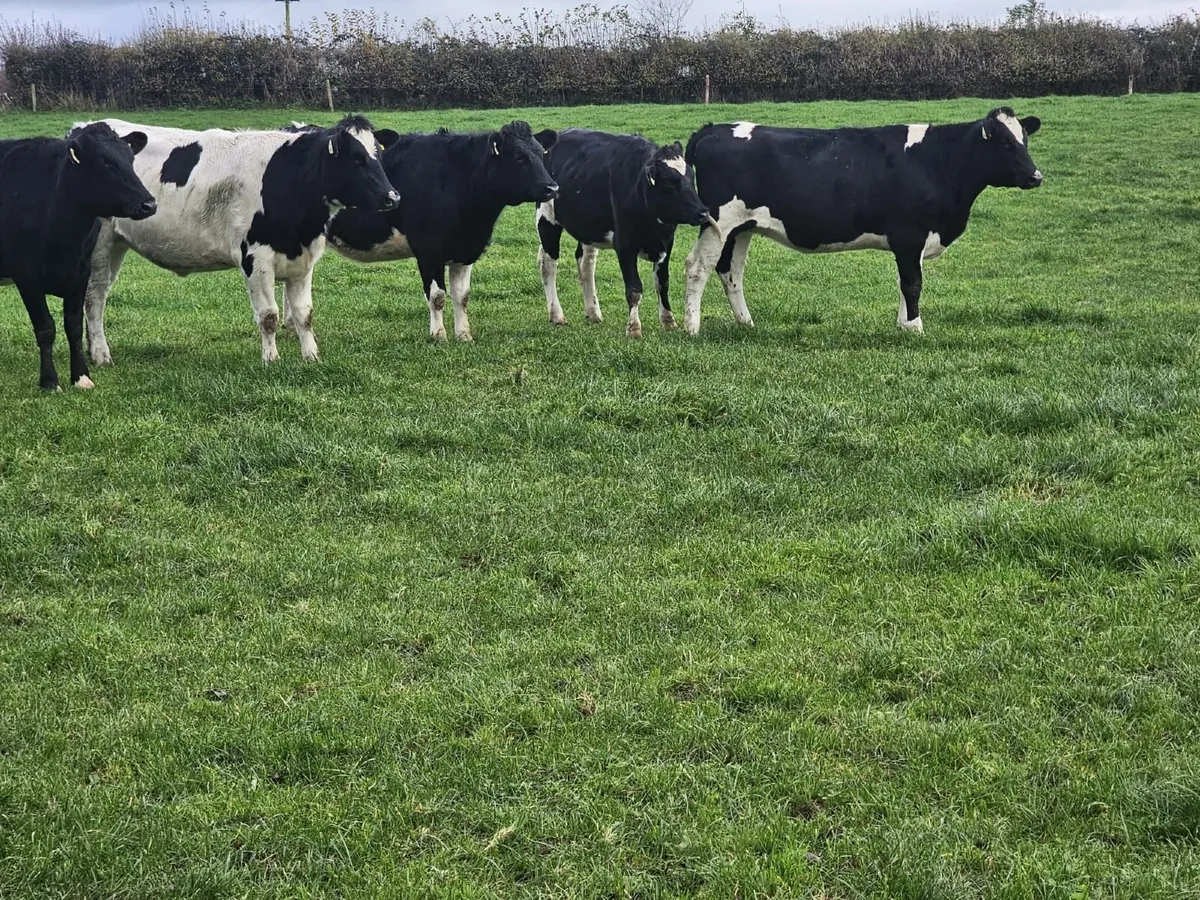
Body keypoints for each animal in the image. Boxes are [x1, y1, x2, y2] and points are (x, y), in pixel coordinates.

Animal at [0, 123, 155, 391]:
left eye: (130, 159)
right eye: (104, 162)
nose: (149, 204)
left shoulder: (82, 271)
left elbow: (73, 325)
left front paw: (81, 377)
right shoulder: (27, 275)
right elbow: (45, 327)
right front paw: (50, 381)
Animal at [79, 115, 399, 365]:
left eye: (378, 155)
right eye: (355, 158)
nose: (393, 197)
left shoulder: (303, 259)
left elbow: (304, 315)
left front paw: (311, 357)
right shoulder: (255, 258)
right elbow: (269, 316)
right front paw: (271, 360)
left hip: (117, 244)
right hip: (100, 245)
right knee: (94, 298)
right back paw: (101, 354)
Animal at [321, 121, 558, 342]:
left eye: (541, 154)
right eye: (519, 157)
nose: (552, 188)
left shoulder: (465, 250)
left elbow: (462, 296)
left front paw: (464, 335)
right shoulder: (428, 249)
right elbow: (437, 296)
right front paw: (439, 335)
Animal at [534, 129, 715, 338]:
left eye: (691, 178)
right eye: (672, 182)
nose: (703, 212)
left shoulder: (667, 242)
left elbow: (662, 283)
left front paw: (668, 321)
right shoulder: (625, 245)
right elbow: (634, 289)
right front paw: (634, 328)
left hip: (588, 228)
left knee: (585, 263)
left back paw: (593, 312)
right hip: (547, 218)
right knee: (548, 264)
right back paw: (557, 314)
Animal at [681, 107, 1043, 336]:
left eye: (1025, 139)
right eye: (1005, 142)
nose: (1036, 176)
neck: (940, 162)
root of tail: (713, 128)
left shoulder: (910, 243)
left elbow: (905, 281)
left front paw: (903, 326)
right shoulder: (909, 235)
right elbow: (913, 283)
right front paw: (915, 328)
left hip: (742, 227)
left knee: (731, 272)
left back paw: (746, 323)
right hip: (718, 221)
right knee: (698, 266)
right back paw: (691, 327)